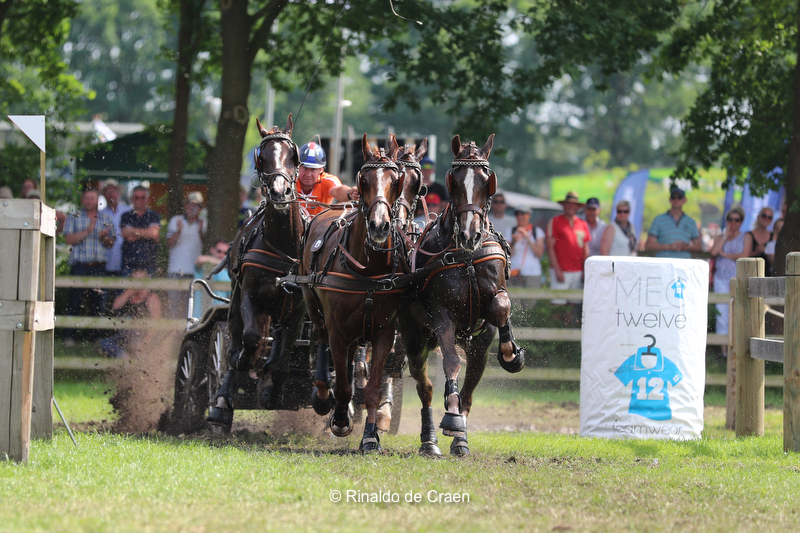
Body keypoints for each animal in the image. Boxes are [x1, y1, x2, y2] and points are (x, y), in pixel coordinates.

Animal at [206, 114, 306, 430]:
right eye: (262, 158)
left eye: (293, 155)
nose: (279, 192)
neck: (283, 245)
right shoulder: (250, 295)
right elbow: (249, 339)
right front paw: (245, 363)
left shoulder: (298, 308)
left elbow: (284, 358)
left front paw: (270, 389)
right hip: (236, 300)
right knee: (234, 341)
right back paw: (222, 401)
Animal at [300, 133, 406, 448]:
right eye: (364, 179)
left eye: (396, 180)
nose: (380, 225)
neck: (367, 272)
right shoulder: (338, 329)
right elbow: (344, 384)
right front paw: (339, 418)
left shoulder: (385, 332)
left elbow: (372, 387)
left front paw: (370, 436)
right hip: (313, 303)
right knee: (321, 341)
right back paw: (324, 395)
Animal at [400, 135, 524, 456]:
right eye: (454, 180)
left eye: (486, 180)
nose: (470, 234)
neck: (466, 256)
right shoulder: (443, 316)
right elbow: (451, 364)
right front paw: (451, 416)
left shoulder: (490, 311)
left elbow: (501, 305)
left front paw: (511, 353)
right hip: (414, 340)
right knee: (425, 387)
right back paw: (431, 438)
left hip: (476, 347)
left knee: (469, 388)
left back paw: (460, 439)